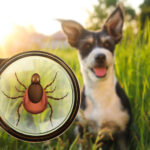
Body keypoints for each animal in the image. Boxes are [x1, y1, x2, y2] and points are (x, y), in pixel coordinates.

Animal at [58, 4, 131, 150]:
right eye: (87, 46)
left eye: (108, 44)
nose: (100, 56)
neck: (100, 89)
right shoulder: (83, 130)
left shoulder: (123, 132)